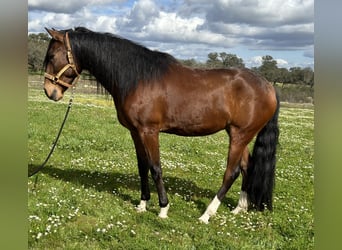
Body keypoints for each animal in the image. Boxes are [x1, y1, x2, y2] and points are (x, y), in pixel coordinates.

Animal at [42, 26, 280, 223]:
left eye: (52, 56)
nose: (49, 92)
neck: (138, 79)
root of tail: (268, 85)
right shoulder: (136, 132)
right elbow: (142, 167)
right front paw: (142, 204)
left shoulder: (149, 131)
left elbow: (156, 168)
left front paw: (163, 208)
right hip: (239, 134)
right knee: (247, 166)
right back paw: (240, 208)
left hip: (240, 135)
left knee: (231, 172)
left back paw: (207, 214)